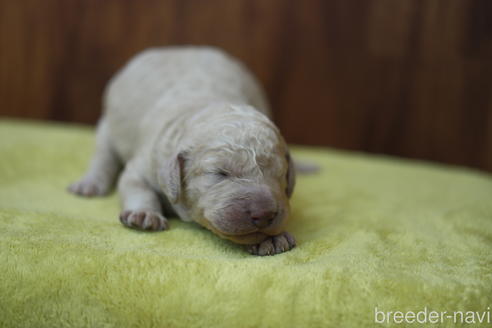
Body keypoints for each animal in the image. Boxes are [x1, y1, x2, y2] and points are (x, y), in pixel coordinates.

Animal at [68, 46, 296, 256]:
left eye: (280, 174)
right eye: (220, 173)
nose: (264, 214)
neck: (205, 105)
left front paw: (272, 238)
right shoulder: (148, 161)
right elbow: (136, 185)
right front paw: (144, 214)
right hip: (108, 126)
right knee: (104, 155)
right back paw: (89, 184)